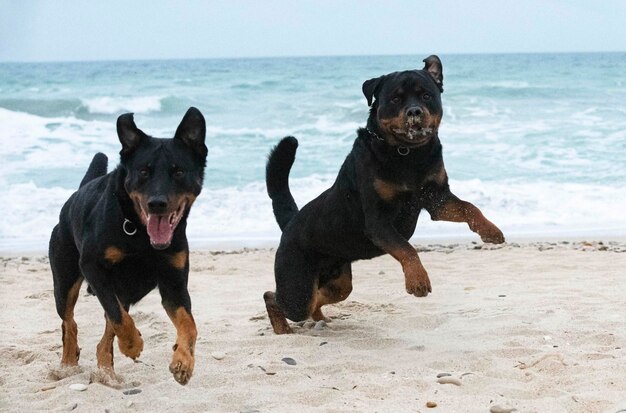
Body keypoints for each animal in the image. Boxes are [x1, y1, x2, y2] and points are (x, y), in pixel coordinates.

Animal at [49, 106, 207, 384]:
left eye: (178, 172)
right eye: (144, 172)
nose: (157, 203)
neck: (141, 234)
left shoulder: (173, 282)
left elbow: (189, 324)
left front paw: (183, 362)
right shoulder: (94, 267)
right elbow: (117, 317)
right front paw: (132, 345)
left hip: (123, 289)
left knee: (105, 335)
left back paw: (106, 373)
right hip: (65, 279)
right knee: (70, 322)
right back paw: (68, 365)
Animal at [262, 54, 502, 334]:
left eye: (426, 96)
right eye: (396, 99)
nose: (414, 111)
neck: (408, 155)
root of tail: (290, 223)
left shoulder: (437, 199)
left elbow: (469, 207)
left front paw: (490, 230)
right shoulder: (378, 221)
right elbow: (406, 248)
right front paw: (417, 281)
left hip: (338, 280)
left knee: (319, 297)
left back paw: (320, 320)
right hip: (297, 285)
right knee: (274, 297)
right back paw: (283, 330)